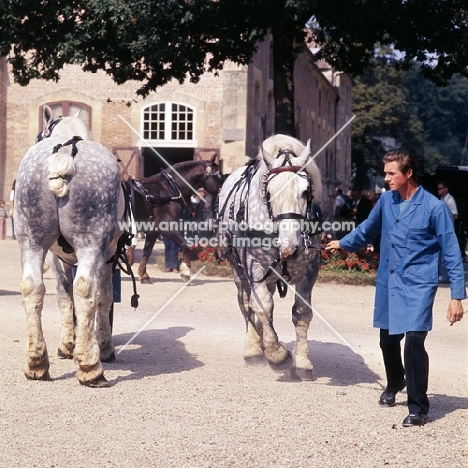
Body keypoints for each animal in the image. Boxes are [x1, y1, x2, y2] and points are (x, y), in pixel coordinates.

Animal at [15, 104, 127, 386]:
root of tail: (65, 151)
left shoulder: (56, 258)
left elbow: (64, 297)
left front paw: (68, 344)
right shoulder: (107, 254)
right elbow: (103, 296)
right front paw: (103, 345)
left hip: (31, 242)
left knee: (32, 288)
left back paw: (37, 363)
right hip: (90, 245)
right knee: (86, 290)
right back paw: (91, 367)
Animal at [126, 155, 223, 284]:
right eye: (218, 176)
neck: (169, 189)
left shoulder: (153, 230)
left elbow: (147, 250)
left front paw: (144, 274)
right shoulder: (166, 226)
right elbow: (184, 245)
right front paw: (186, 271)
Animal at [218, 134, 324, 380]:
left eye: (306, 191)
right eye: (269, 192)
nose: (289, 248)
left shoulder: (310, 268)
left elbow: (302, 312)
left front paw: (301, 361)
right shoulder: (254, 265)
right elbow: (263, 306)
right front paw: (277, 355)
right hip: (239, 269)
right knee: (246, 302)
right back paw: (255, 348)